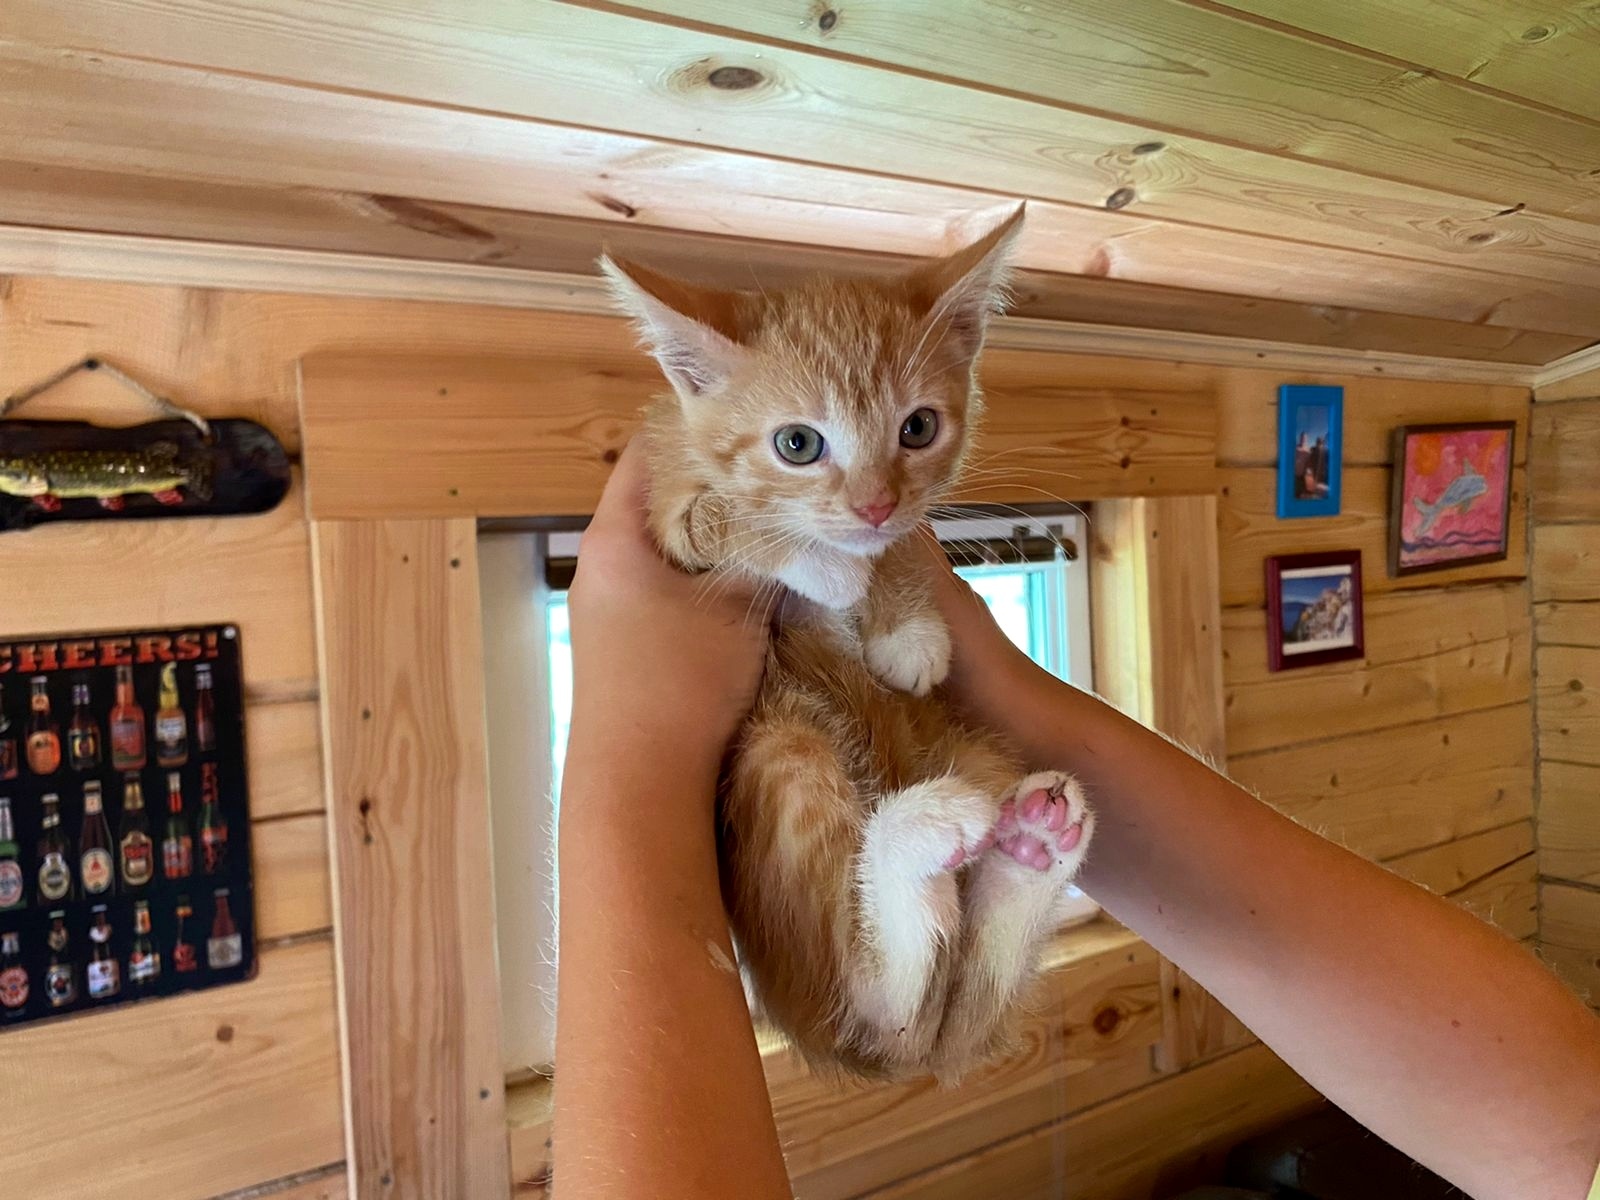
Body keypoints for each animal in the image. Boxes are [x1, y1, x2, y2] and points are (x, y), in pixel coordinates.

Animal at [601, 211, 1100, 1088]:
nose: (871, 505)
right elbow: (721, 520)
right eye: (798, 444)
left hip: (967, 745)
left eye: (919, 428)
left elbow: (909, 537)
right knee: (878, 1007)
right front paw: (823, 561)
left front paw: (905, 620)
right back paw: (922, 843)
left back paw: (1029, 849)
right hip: (779, 750)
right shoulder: (660, 511)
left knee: (945, 1022)